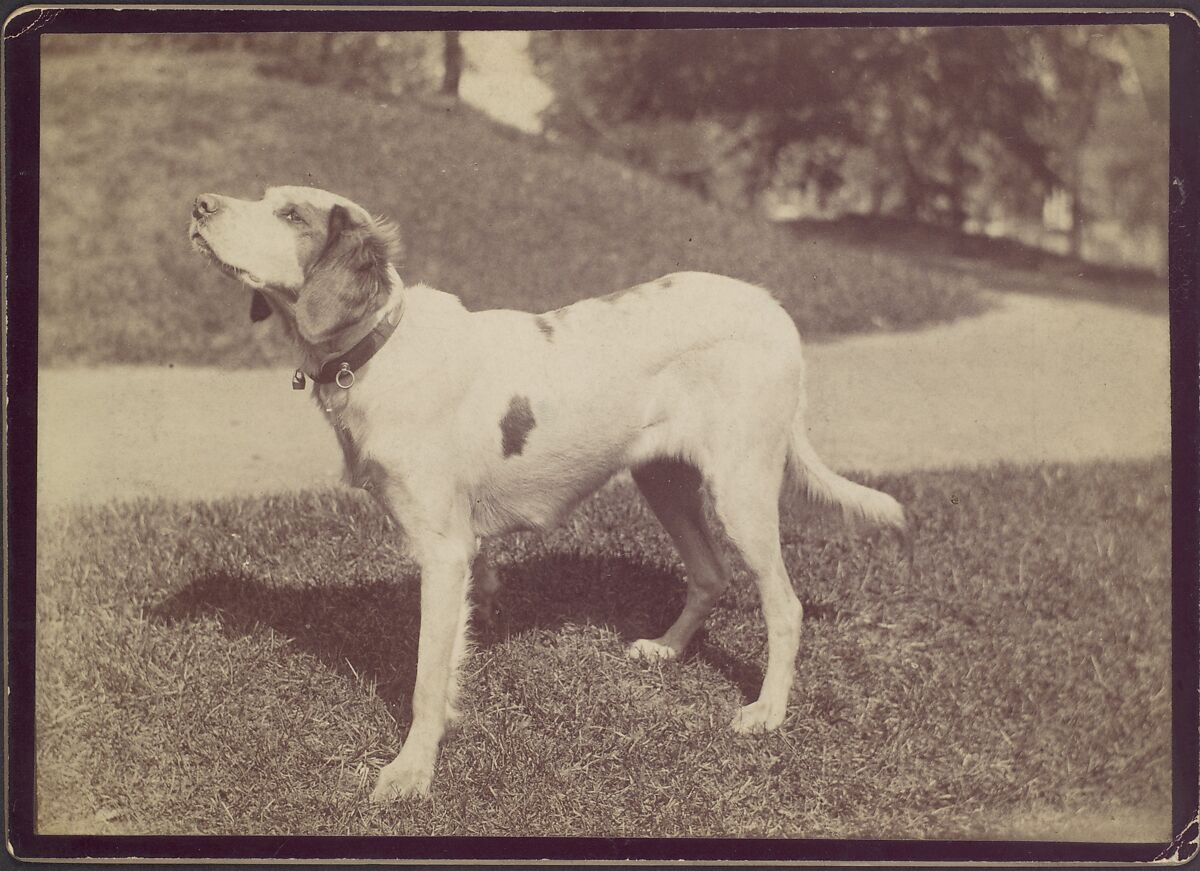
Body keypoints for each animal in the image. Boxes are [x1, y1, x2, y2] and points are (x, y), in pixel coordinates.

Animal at [187, 185, 907, 806]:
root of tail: (771, 308)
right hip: (664, 480)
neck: (380, 348)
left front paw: (412, 772)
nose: (198, 205)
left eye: (290, 214)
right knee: (709, 573)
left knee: (784, 605)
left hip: (742, 488)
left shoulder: (442, 551)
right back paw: (666, 649)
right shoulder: (464, 551)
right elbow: (458, 642)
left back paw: (768, 711)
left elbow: (425, 677)